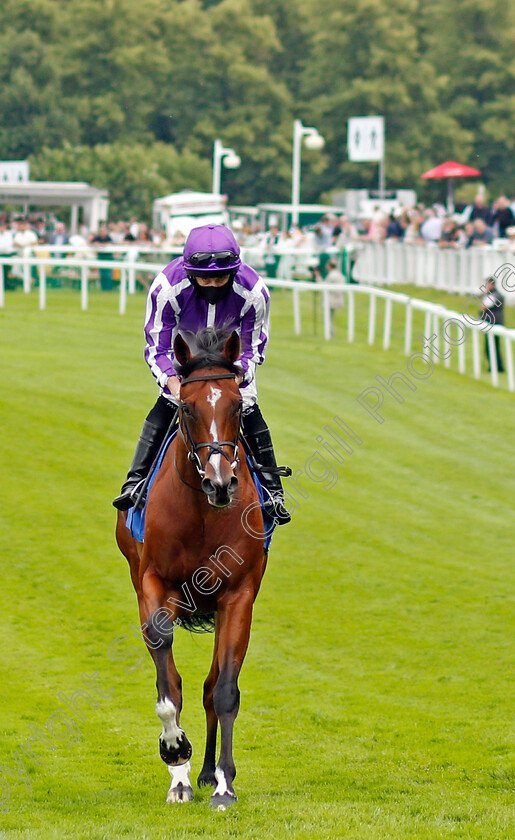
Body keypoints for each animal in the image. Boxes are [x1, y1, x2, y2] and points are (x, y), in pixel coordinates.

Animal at [116, 326, 270, 808]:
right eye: (186, 407)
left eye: (237, 406)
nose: (220, 483)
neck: (203, 512)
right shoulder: (154, 583)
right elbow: (169, 685)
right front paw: (175, 756)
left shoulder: (238, 596)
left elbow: (223, 691)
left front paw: (223, 783)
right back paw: (185, 772)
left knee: (210, 685)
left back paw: (206, 773)